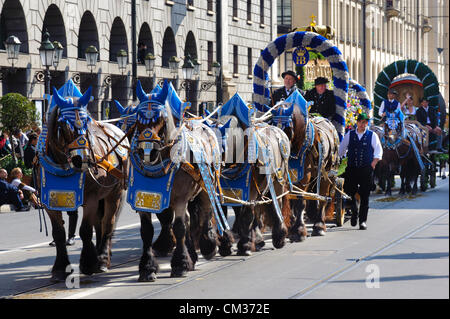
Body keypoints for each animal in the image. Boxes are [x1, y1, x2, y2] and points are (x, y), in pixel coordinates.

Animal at [37, 87, 129, 282]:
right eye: (63, 125)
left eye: (86, 121)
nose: (82, 160)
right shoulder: (50, 202)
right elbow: (59, 233)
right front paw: (60, 268)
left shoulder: (91, 199)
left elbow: (85, 230)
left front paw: (88, 263)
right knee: (100, 223)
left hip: (115, 194)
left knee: (108, 223)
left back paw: (102, 258)